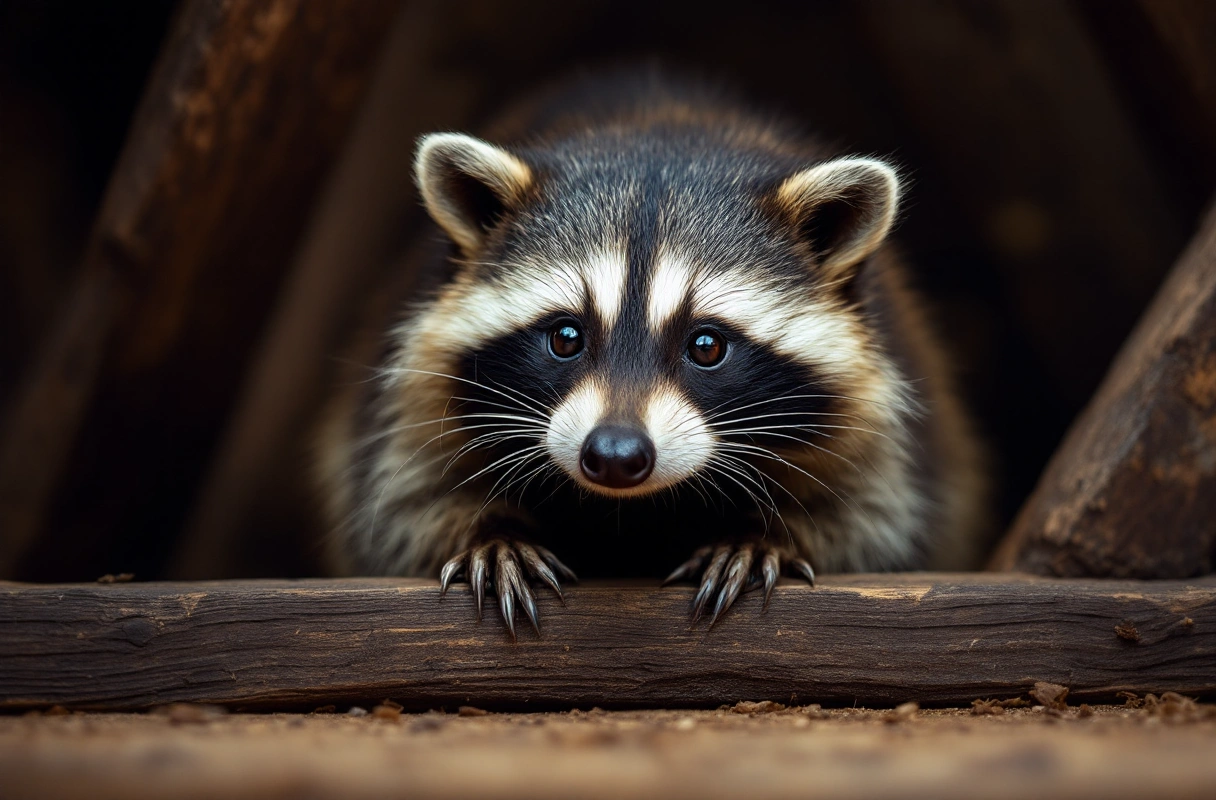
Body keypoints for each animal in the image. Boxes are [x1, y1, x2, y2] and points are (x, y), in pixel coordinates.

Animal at [316, 74, 986, 637]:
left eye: (706, 346)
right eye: (566, 338)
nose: (615, 455)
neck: (659, 133)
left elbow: (874, 516)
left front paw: (763, 534)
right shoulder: (415, 381)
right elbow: (402, 500)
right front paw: (489, 529)